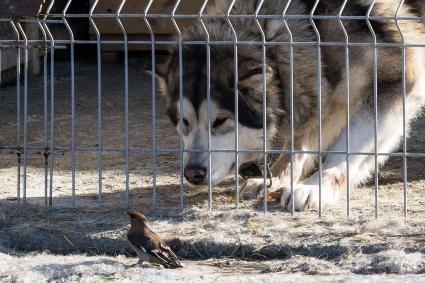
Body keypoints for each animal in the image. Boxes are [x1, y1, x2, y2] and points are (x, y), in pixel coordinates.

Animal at [156, 0, 424, 212]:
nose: (192, 173)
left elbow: (345, 149)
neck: (312, 26)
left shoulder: (397, 82)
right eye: (184, 122)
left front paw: (317, 186)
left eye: (221, 120)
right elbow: (299, 142)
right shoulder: (317, 90)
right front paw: (276, 177)